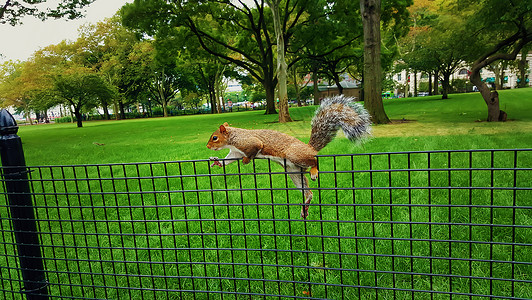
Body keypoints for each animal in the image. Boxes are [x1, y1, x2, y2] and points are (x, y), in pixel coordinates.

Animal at [206, 95, 372, 218]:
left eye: (214, 137)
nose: (207, 147)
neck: (233, 137)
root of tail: (310, 148)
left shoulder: (250, 143)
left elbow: (255, 149)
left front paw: (247, 160)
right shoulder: (236, 152)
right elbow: (228, 160)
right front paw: (217, 162)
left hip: (295, 155)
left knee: (315, 160)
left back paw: (314, 170)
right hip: (294, 172)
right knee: (308, 191)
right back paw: (306, 205)